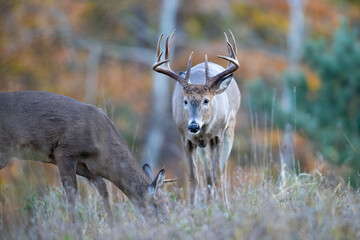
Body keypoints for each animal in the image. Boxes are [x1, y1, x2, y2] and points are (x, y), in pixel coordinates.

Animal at [0, 90, 174, 223]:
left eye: (168, 202)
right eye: (157, 204)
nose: (167, 222)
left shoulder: (87, 168)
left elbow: (103, 190)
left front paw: (113, 227)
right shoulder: (64, 152)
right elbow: (71, 193)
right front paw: (71, 229)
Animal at [153, 30, 240, 206]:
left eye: (206, 100)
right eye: (185, 101)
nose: (193, 126)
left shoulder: (217, 136)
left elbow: (218, 175)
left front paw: (223, 207)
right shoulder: (186, 139)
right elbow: (194, 178)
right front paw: (192, 207)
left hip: (229, 130)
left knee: (221, 171)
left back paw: (222, 202)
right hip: (202, 147)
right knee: (208, 176)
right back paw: (209, 202)